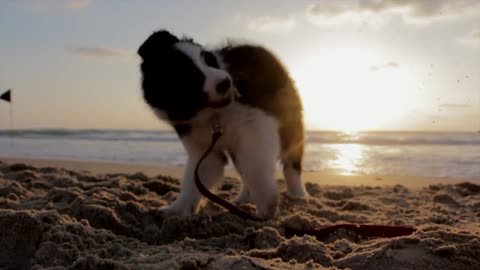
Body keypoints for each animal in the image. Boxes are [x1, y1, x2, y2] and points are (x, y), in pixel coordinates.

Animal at [137, 30, 306, 219]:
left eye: (208, 59)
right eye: (190, 77)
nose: (226, 82)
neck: (215, 115)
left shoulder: (257, 126)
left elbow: (255, 167)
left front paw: (267, 205)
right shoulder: (202, 146)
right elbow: (194, 178)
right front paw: (176, 210)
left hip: (289, 123)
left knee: (290, 164)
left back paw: (299, 196)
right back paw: (243, 199)